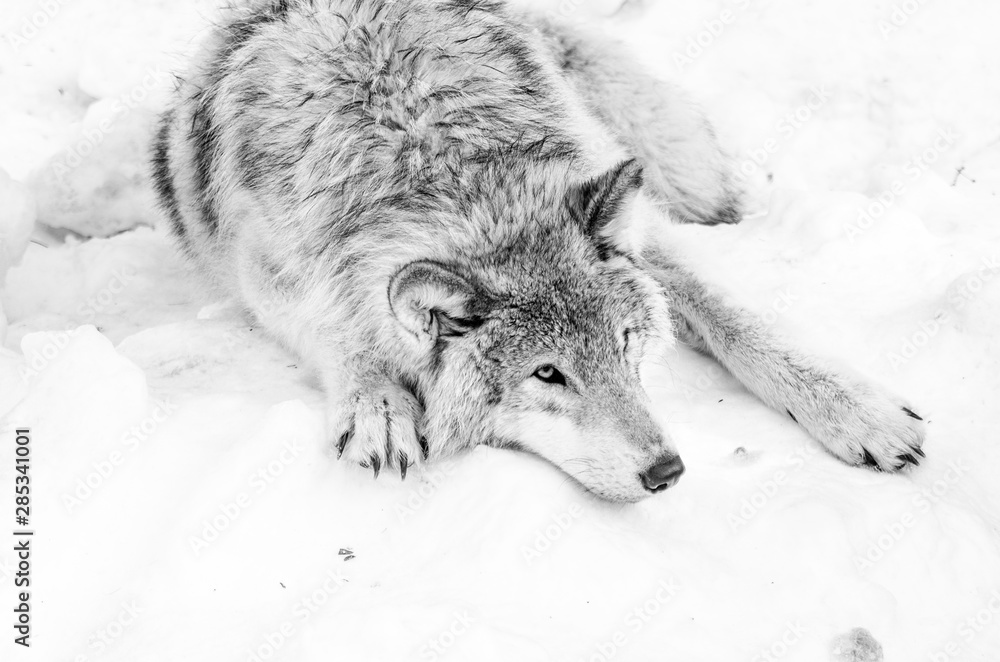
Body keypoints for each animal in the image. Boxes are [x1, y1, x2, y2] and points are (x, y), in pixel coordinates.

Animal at [151, 0, 925, 503]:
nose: (667, 473)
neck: (435, 161)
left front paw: (859, 410)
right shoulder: (273, 279)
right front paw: (378, 404)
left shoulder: (632, 227)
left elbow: (740, 322)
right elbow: (338, 332)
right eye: (547, 375)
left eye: (626, 343)